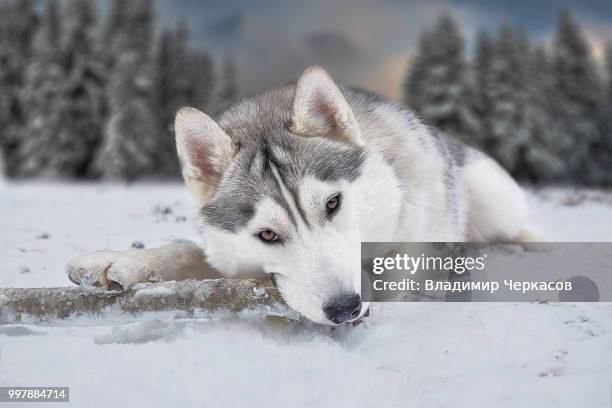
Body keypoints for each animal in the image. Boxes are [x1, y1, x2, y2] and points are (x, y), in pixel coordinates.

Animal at [65, 65, 536, 324]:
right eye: (268, 235)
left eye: (333, 204)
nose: (345, 308)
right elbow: (186, 252)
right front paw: (120, 261)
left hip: (492, 198)